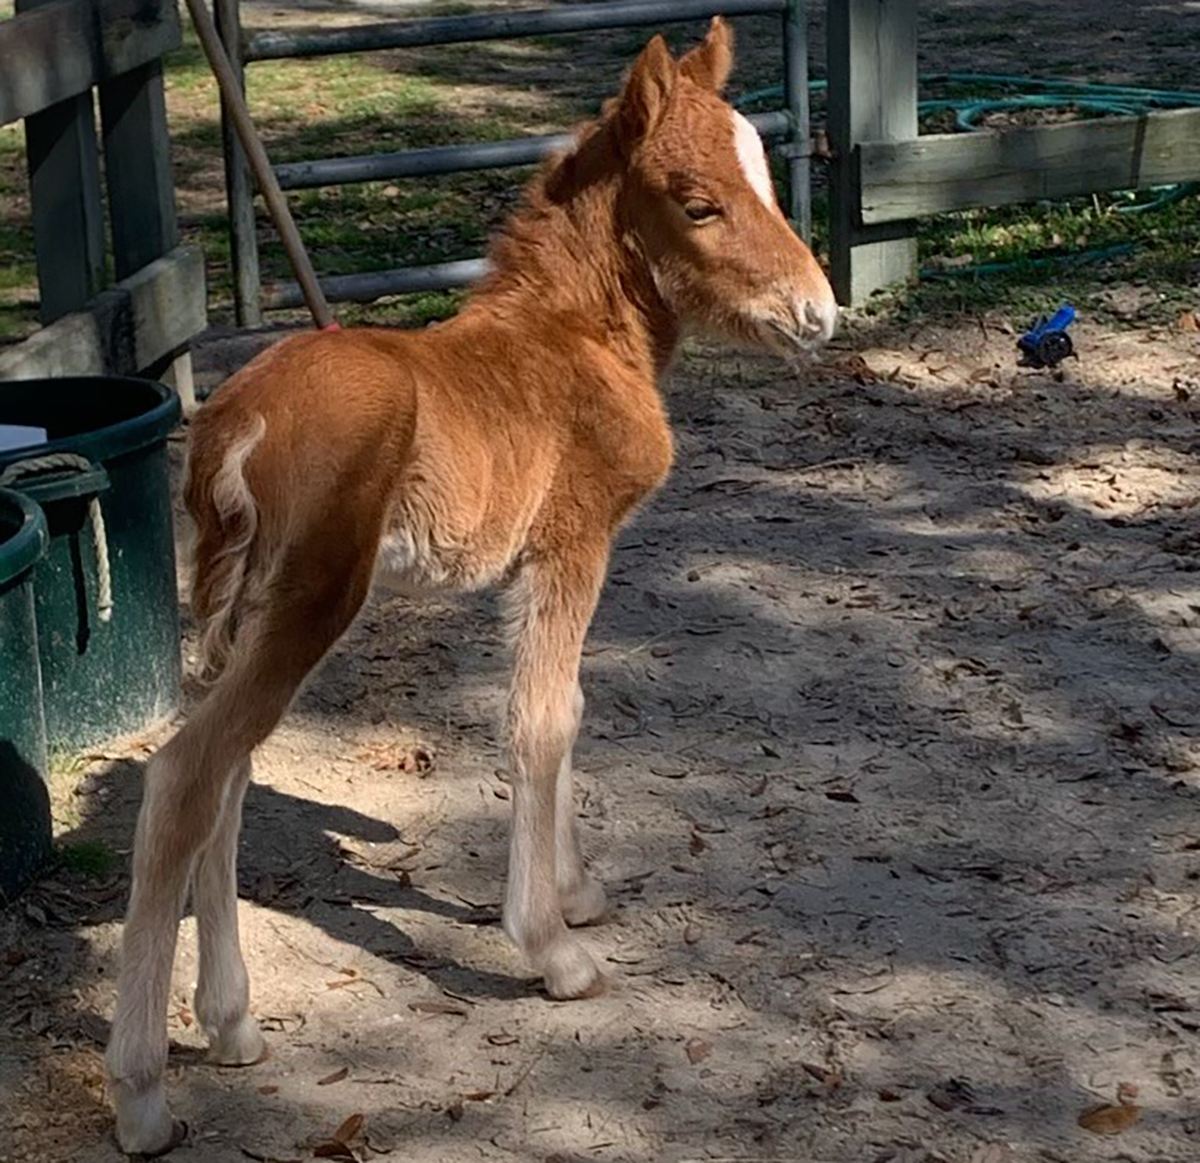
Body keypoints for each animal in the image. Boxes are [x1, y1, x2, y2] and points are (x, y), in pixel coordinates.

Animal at [108, 20, 835, 1152]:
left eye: (764, 177)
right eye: (699, 202)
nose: (819, 313)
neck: (575, 338)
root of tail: (233, 423)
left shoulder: (545, 564)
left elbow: (570, 706)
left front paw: (575, 893)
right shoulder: (571, 543)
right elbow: (541, 717)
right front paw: (553, 949)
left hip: (244, 609)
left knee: (226, 773)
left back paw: (230, 1023)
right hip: (314, 599)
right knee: (186, 774)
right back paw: (142, 1089)